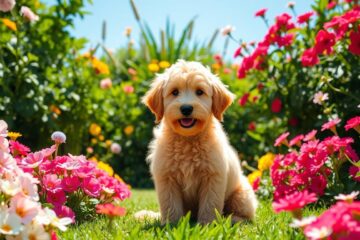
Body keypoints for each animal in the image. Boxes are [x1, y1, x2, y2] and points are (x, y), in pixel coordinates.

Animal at [142, 59, 258, 224]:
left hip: (242, 195)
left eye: (199, 92)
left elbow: (210, 204)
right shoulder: (166, 178)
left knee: (246, 216)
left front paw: (208, 224)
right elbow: (170, 205)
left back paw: (232, 219)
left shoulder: (213, 178)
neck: (188, 139)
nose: (186, 108)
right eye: (175, 92)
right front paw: (171, 224)